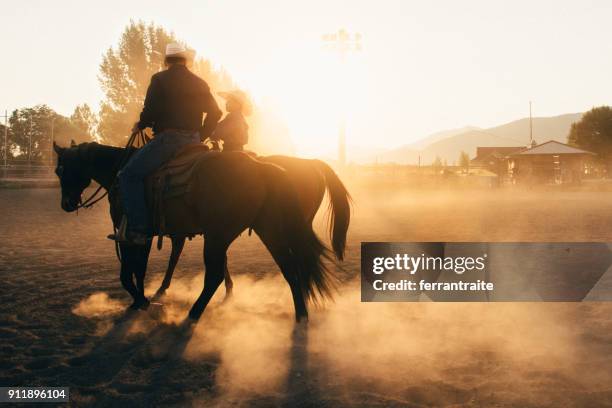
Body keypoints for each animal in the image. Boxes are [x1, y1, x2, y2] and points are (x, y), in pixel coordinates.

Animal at [153, 155, 352, 302]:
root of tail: (311, 163)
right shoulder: (210, 232)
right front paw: (229, 289)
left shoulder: (197, 232)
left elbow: (175, 258)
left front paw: (161, 288)